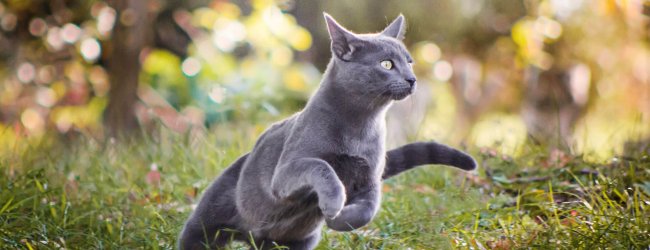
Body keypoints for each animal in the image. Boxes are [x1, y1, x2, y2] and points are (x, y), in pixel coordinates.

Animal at [180, 13, 474, 250]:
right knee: (196, 234)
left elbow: (368, 209)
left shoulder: (369, 179)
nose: (412, 79)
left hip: (295, 242)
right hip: (208, 220)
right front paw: (333, 203)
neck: (359, 126)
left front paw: (339, 220)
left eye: (409, 62)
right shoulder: (285, 173)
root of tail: (251, 236)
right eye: (387, 64)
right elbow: (320, 165)